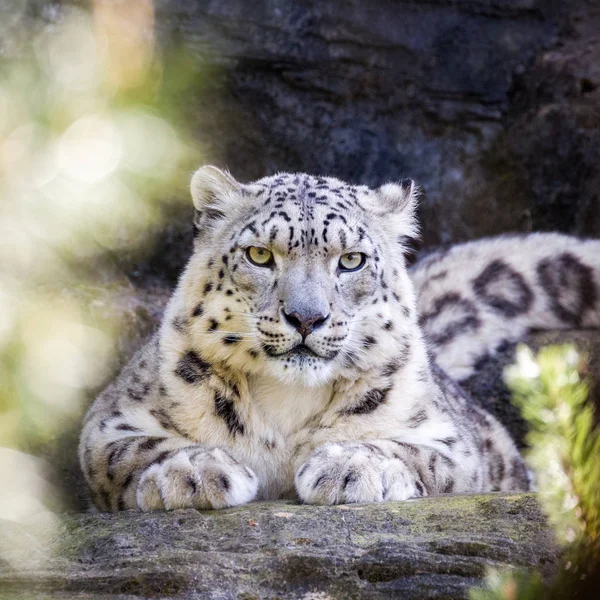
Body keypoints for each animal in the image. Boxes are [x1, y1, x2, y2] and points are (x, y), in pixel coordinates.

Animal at [79, 165, 600, 510]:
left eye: (351, 260)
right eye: (259, 254)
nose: (307, 317)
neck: (286, 402)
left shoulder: (454, 442)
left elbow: (414, 452)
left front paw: (352, 468)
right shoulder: (110, 420)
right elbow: (129, 450)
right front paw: (193, 473)